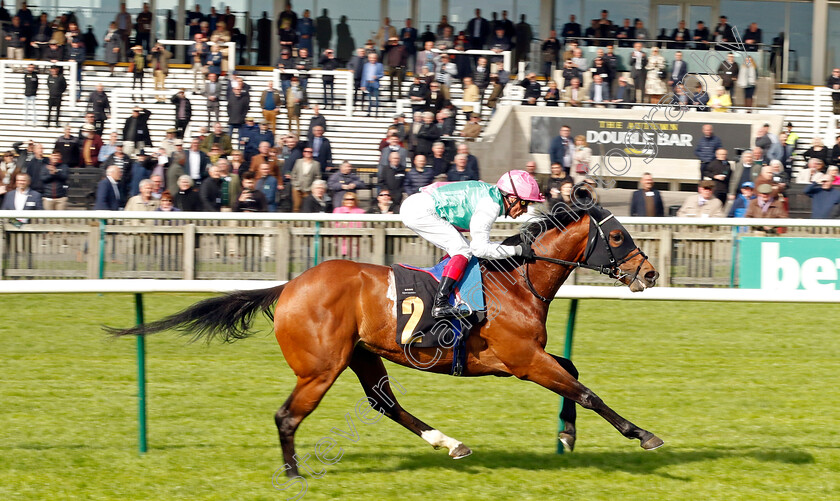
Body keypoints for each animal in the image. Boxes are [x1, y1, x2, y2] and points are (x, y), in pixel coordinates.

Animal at [108, 197, 668, 474]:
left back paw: (450, 443)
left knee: (385, 403)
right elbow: (587, 390)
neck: (514, 281)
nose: (650, 273)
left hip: (363, 355)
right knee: (287, 416)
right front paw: (642, 435)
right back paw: (293, 473)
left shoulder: (528, 358)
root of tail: (289, 286)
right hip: (321, 367)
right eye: (618, 237)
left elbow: (573, 372)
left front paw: (567, 434)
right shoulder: (523, 362)